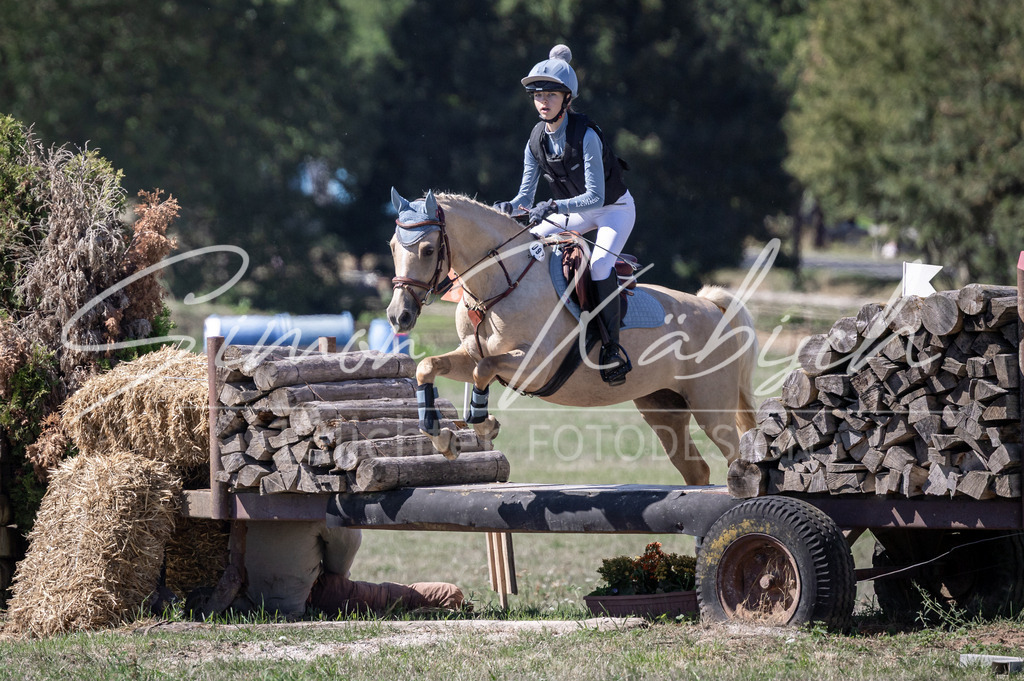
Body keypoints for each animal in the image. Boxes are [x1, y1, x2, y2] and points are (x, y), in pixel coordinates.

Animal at [386, 188, 758, 485]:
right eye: (392, 247)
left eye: (428, 250)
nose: (397, 315)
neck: (498, 286)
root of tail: (711, 307)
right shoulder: (470, 354)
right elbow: (430, 367)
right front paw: (442, 438)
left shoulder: (534, 365)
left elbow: (484, 370)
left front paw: (484, 426)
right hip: (663, 409)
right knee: (697, 470)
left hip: (711, 410)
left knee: (735, 456)